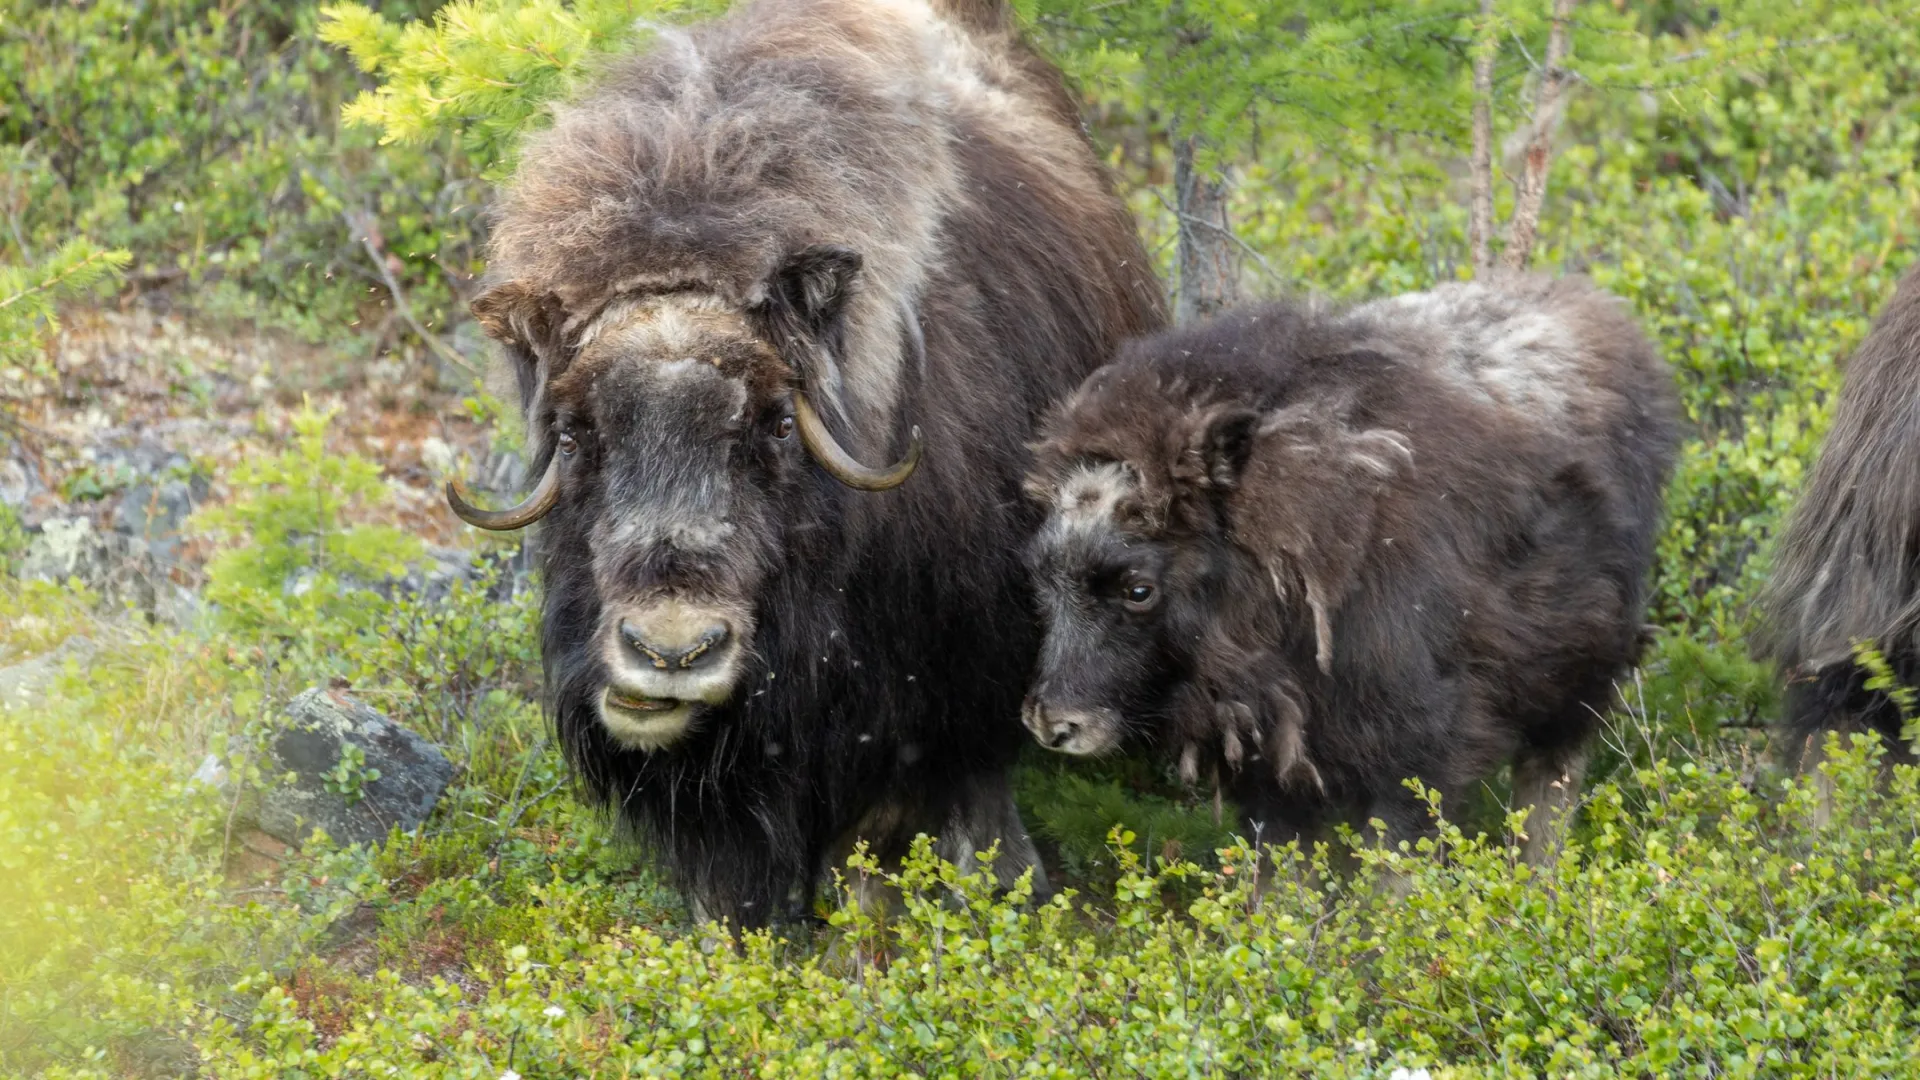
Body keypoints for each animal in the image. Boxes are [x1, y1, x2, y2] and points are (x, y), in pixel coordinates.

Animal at [1029, 274, 1674, 857]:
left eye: (1138, 589)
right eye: (1043, 575)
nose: (1053, 725)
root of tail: (1607, 318)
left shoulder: (1417, 750)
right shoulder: (1278, 773)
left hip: (1576, 683)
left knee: (1548, 790)